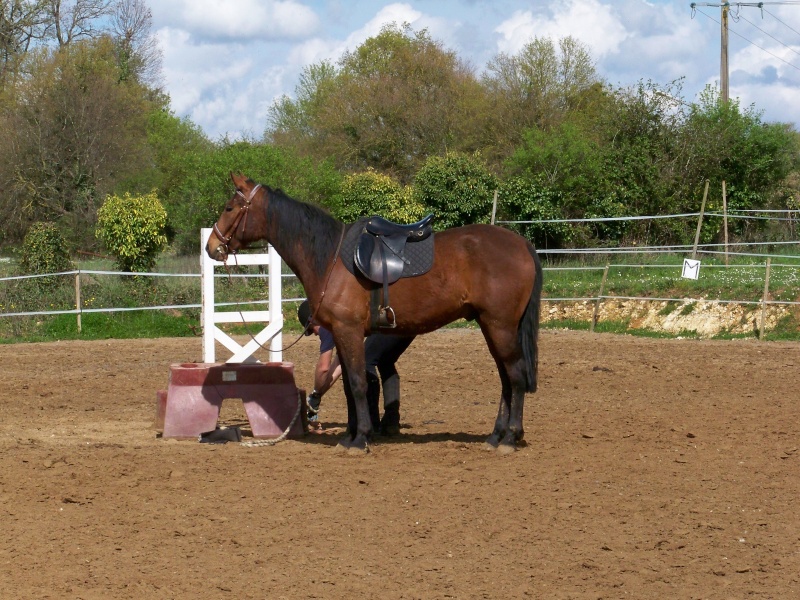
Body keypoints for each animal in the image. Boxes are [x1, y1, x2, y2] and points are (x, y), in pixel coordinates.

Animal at [206, 171, 544, 452]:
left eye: (230, 208)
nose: (211, 247)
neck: (329, 258)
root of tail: (522, 244)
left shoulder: (348, 331)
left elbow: (357, 383)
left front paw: (361, 439)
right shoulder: (342, 335)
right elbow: (347, 386)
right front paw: (351, 435)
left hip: (500, 326)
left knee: (515, 376)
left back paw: (511, 437)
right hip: (491, 326)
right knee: (505, 378)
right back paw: (496, 435)